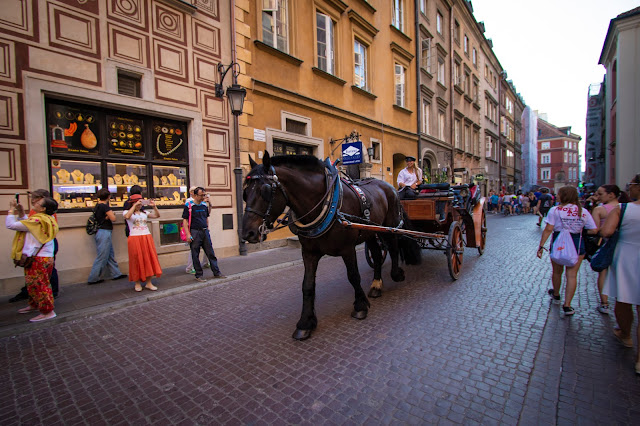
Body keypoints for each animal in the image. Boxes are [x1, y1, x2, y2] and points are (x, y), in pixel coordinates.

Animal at [241, 153, 420, 340]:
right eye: (245, 193)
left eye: (266, 191)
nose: (247, 233)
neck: (324, 204)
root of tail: (390, 187)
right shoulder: (309, 253)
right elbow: (307, 285)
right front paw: (305, 322)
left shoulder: (348, 249)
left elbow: (353, 276)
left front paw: (360, 306)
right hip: (370, 231)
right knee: (377, 254)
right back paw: (376, 285)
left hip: (389, 226)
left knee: (393, 247)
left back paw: (396, 274)